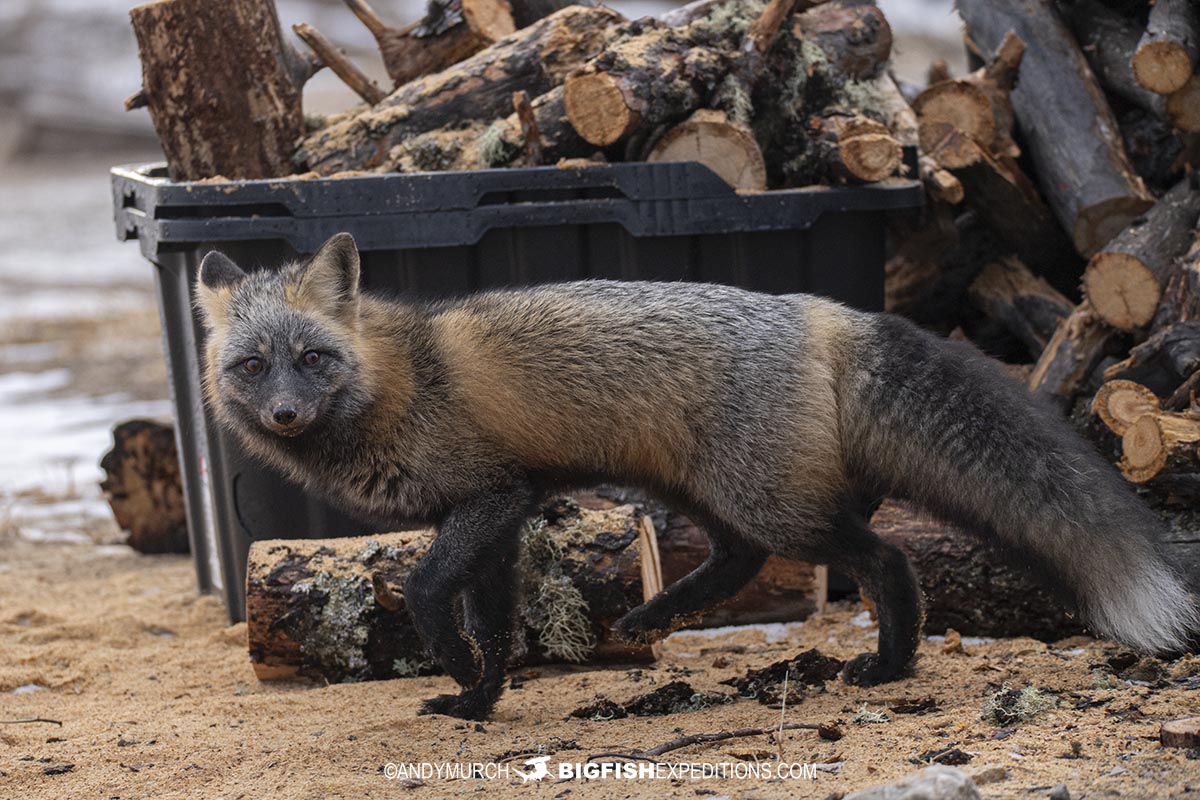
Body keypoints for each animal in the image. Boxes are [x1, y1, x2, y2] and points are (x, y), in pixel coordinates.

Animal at [199, 231, 1200, 719]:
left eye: (311, 360)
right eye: (253, 366)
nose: (283, 415)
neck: (397, 379)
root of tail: (823, 311)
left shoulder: (491, 496)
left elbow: (424, 586)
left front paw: (451, 666)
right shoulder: (504, 512)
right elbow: (498, 624)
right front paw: (479, 699)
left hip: (769, 502)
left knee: (884, 559)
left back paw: (890, 664)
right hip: (700, 490)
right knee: (742, 561)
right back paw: (655, 617)